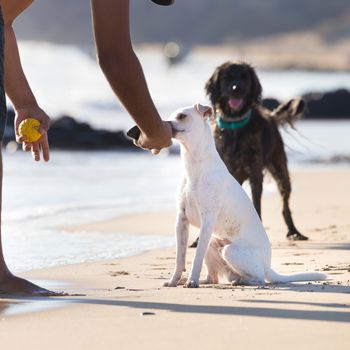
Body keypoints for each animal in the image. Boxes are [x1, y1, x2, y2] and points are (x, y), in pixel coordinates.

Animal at [165, 103, 326, 288]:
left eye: (182, 116)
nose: (165, 124)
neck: (195, 165)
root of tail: (268, 266)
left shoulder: (207, 221)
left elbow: (196, 258)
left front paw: (192, 280)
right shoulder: (181, 221)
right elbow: (179, 259)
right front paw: (174, 281)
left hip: (230, 251)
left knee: (259, 278)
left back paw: (242, 281)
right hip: (213, 242)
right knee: (214, 277)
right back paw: (208, 281)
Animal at [191, 60, 306, 246]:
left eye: (244, 77)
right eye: (226, 77)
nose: (236, 88)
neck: (234, 126)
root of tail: (271, 116)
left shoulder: (255, 172)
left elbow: (256, 204)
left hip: (280, 170)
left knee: (285, 205)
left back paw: (294, 231)